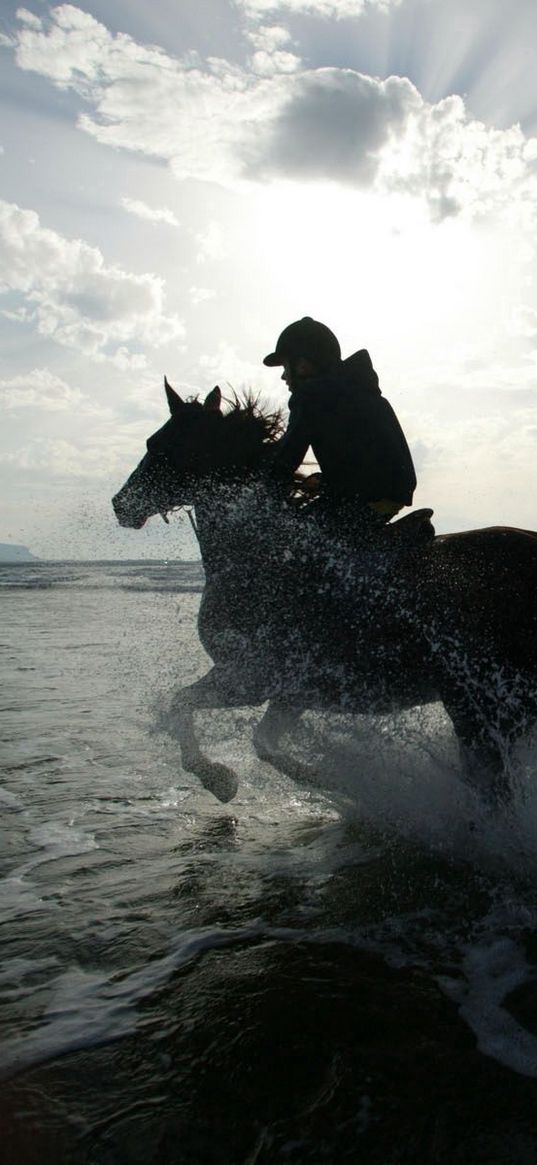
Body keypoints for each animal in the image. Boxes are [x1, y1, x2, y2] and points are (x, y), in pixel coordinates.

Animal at [110, 382, 535, 810]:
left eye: (163, 443)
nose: (121, 504)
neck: (259, 556)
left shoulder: (251, 677)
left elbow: (183, 703)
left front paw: (219, 779)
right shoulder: (292, 693)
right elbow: (263, 742)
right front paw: (336, 782)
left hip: (479, 702)